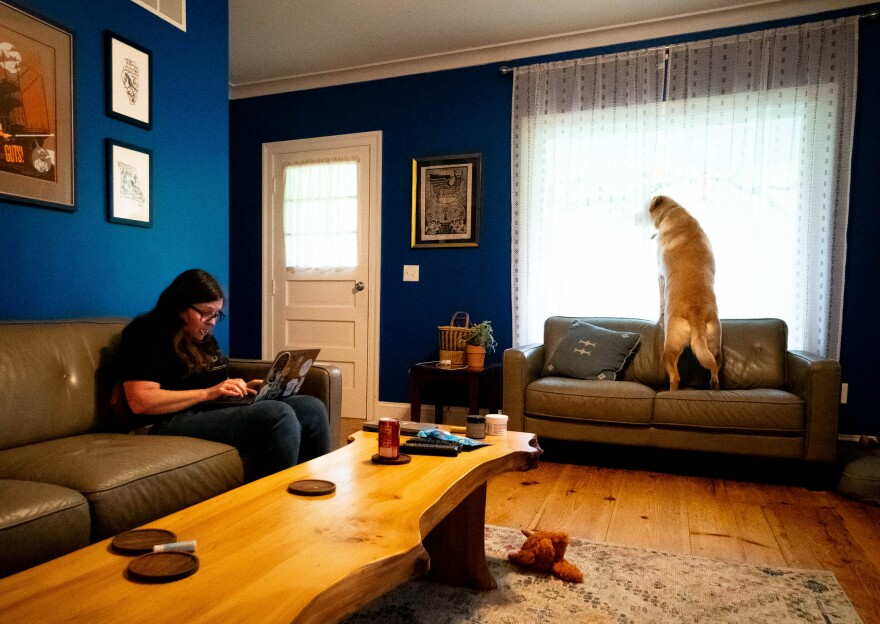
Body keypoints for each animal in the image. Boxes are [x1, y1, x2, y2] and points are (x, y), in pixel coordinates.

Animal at [648, 195, 720, 390]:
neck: (672, 210)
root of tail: (697, 316)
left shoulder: (660, 276)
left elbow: (660, 301)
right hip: (714, 344)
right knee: (714, 371)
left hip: (670, 346)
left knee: (675, 377)